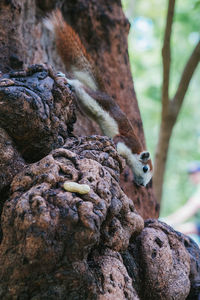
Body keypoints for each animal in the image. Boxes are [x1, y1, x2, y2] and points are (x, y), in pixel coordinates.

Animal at [44, 9, 152, 186]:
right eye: (145, 168)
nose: (142, 185)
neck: (135, 152)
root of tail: (103, 93)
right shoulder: (125, 142)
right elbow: (116, 142)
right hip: (93, 98)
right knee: (80, 86)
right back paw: (68, 81)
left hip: (87, 105)